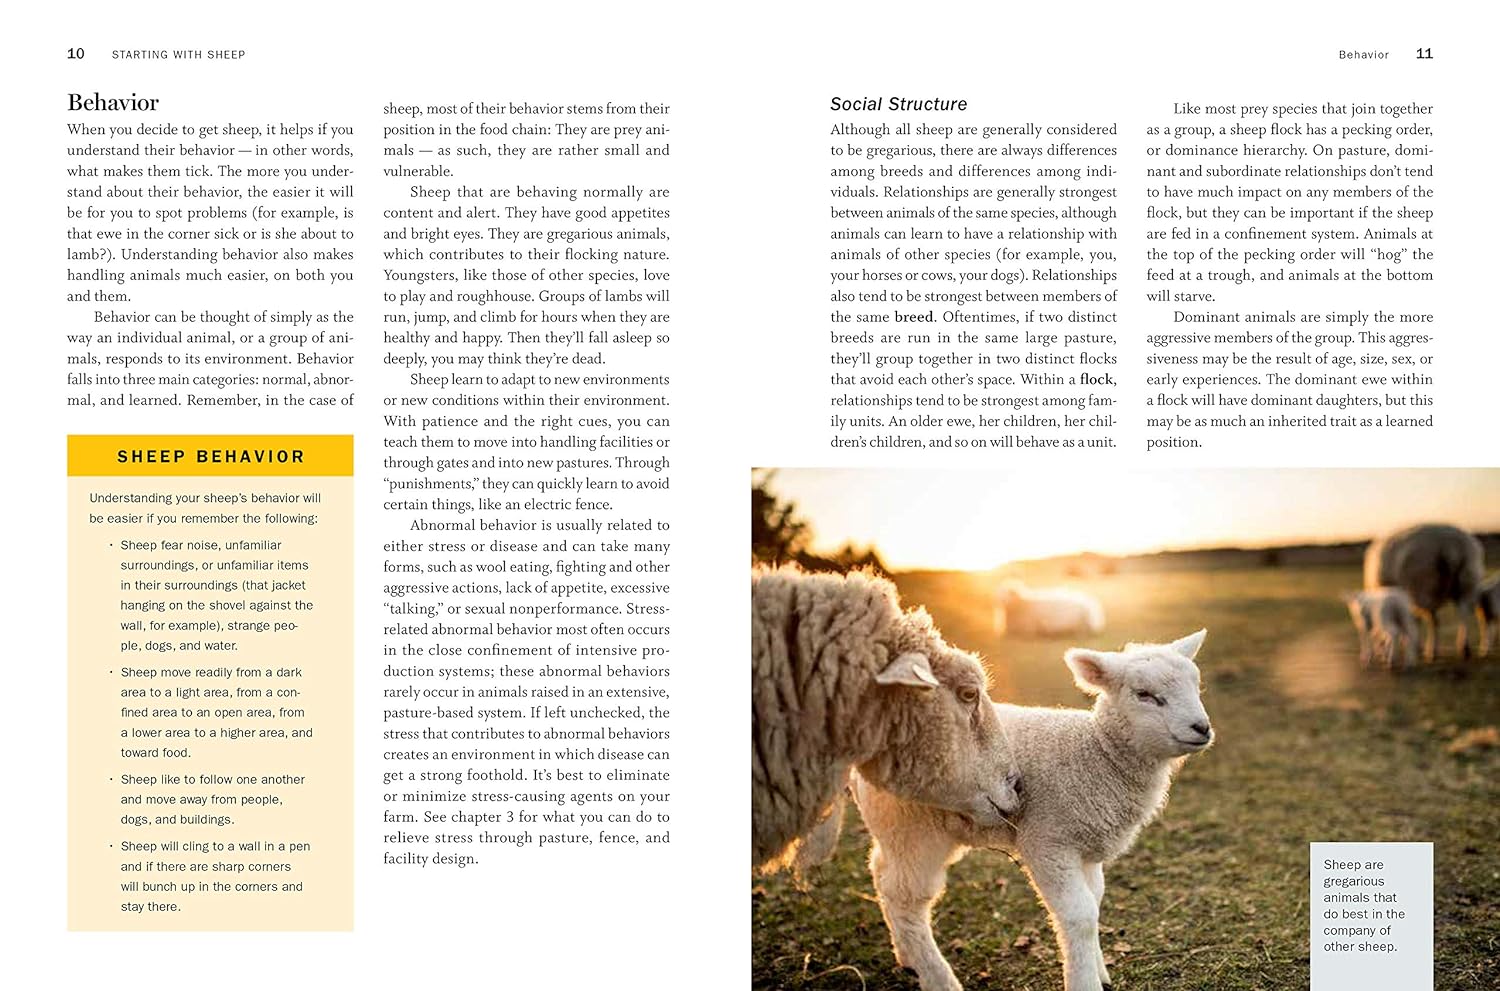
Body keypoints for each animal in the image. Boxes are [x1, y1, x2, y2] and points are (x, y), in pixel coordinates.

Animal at [851, 630, 1213, 991]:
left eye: (1196, 686)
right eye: (1144, 695)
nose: (1202, 728)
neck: (1097, 755)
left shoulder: (1086, 848)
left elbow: (1094, 901)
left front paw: (1098, 969)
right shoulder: (1048, 842)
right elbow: (1081, 915)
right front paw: (1084, 981)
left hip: (898, 831)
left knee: (881, 872)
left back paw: (906, 955)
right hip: (914, 830)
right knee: (905, 899)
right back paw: (936, 976)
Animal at [1364, 524, 1484, 660]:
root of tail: (1450, 547)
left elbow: (1413, 621)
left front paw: (1412, 645)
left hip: (1425, 586)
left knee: (1434, 621)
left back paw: (1432, 652)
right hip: (1467, 582)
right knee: (1463, 614)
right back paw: (1464, 648)